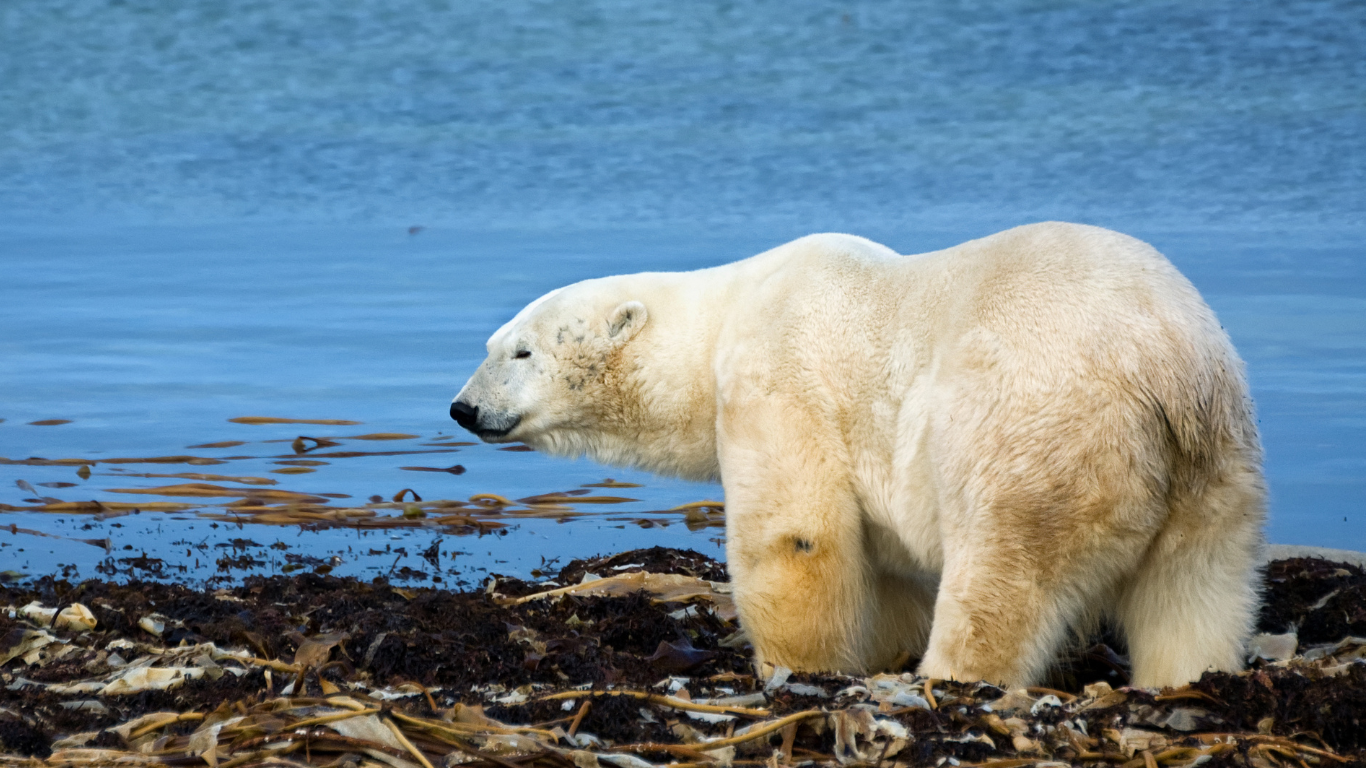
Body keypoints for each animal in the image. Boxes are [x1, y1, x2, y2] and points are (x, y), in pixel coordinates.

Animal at [453, 221, 1262, 688]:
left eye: (520, 350)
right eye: (492, 344)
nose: (463, 409)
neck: (726, 313)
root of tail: (1164, 365)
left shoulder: (780, 374)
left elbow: (797, 533)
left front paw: (795, 671)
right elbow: (890, 564)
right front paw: (878, 648)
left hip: (1036, 426)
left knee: (1005, 572)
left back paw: (949, 681)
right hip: (1214, 458)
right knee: (1196, 586)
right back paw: (1191, 679)